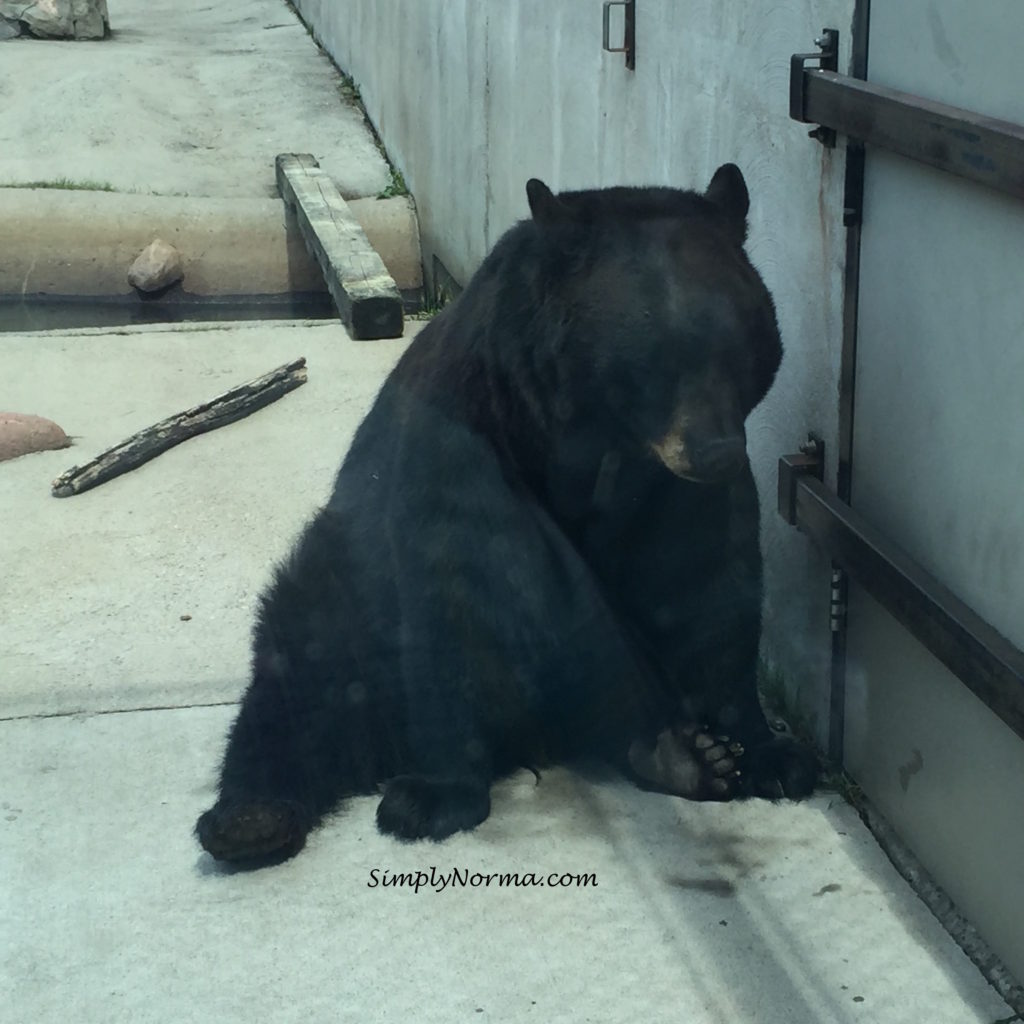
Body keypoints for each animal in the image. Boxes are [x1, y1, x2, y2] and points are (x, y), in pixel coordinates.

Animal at [195, 161, 819, 864]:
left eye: (742, 345)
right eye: (654, 361)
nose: (716, 452)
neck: (599, 442)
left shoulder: (678, 493)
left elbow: (711, 584)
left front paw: (770, 752)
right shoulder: (468, 436)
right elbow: (457, 591)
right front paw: (436, 795)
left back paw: (678, 756)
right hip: (341, 584)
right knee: (301, 673)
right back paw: (252, 816)